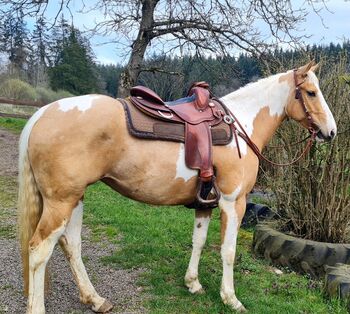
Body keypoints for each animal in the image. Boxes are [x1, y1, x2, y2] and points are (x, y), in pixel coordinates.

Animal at [18, 62, 336, 314]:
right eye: (311, 93)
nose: (331, 132)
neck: (241, 126)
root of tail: (42, 113)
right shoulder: (233, 202)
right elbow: (228, 251)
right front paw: (231, 299)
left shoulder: (205, 203)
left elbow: (199, 242)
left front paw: (193, 283)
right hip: (61, 202)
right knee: (38, 250)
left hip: (75, 198)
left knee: (71, 245)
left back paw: (95, 299)